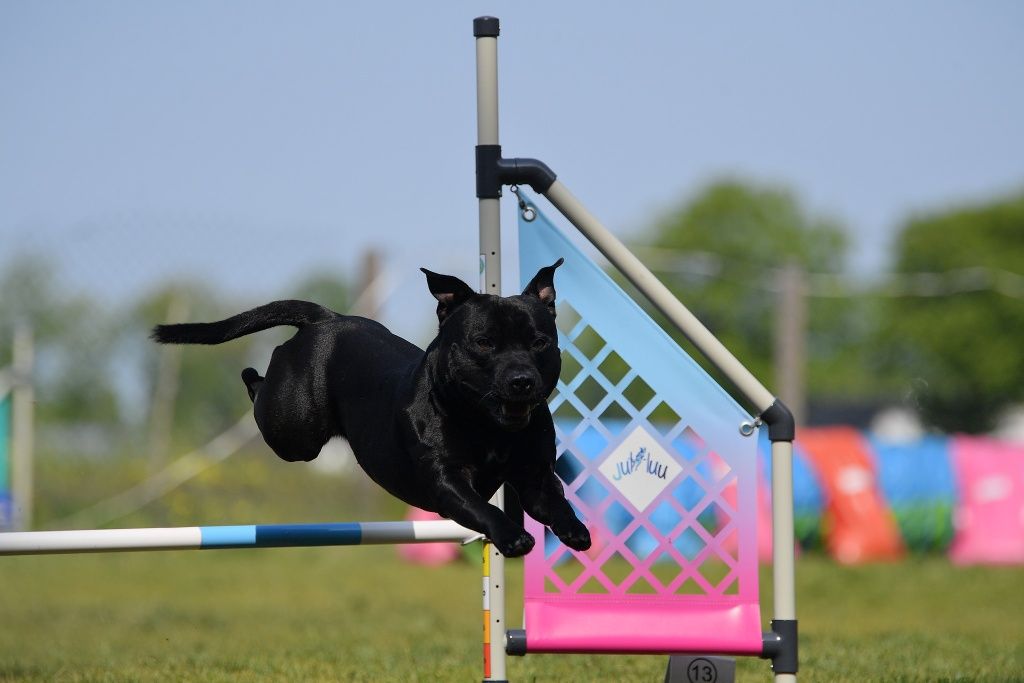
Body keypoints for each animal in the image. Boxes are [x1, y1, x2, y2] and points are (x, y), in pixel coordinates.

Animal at [148, 259, 589, 557]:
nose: (522, 380)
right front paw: (512, 536)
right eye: (483, 342)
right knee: (259, 388)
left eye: (539, 342)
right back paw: (252, 376)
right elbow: (482, 509)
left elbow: (555, 500)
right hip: (294, 431)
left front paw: (575, 530)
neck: (488, 427)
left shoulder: (535, 477)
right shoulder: (446, 482)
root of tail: (327, 318)